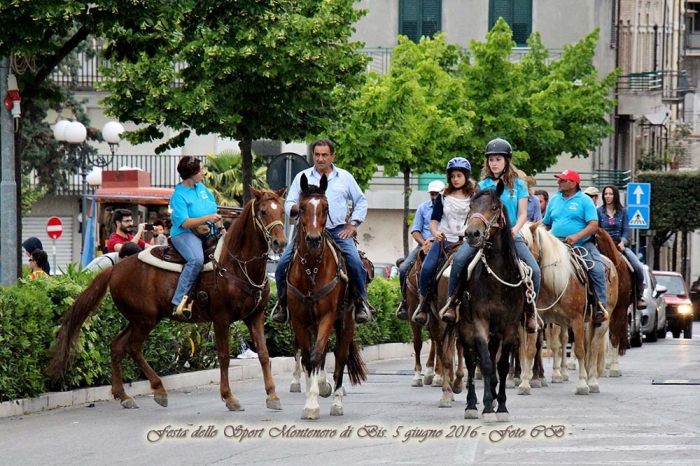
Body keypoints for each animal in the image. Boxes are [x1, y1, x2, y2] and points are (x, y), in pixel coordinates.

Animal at [49, 187, 288, 412]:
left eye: (283, 211)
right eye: (263, 211)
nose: (280, 242)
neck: (237, 264)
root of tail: (116, 268)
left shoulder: (255, 316)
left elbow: (264, 354)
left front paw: (273, 395)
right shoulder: (221, 318)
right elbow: (224, 356)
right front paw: (229, 397)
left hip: (143, 318)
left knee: (118, 346)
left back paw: (124, 395)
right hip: (145, 319)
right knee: (133, 347)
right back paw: (158, 389)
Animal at [288, 173, 370, 420]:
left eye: (325, 207)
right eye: (301, 207)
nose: (314, 239)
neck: (311, 269)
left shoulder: (327, 315)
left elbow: (317, 356)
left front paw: (314, 403)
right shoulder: (299, 320)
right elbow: (308, 358)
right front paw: (311, 398)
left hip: (346, 322)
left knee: (340, 356)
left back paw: (336, 401)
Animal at [452, 183, 524, 422]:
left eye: (494, 207)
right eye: (471, 206)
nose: (472, 234)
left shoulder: (510, 325)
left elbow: (500, 366)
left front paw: (500, 407)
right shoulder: (480, 322)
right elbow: (483, 363)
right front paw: (486, 408)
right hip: (465, 329)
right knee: (470, 360)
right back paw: (471, 404)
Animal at [516, 221, 616, 394]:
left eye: (525, 243)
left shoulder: (577, 320)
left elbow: (579, 351)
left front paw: (582, 384)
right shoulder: (536, 321)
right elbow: (530, 350)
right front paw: (525, 383)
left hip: (602, 321)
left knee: (593, 347)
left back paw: (592, 381)